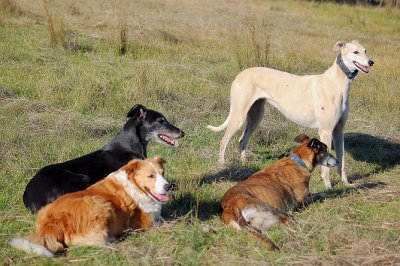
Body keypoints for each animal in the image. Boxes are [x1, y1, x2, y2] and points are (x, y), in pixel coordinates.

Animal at [10, 157, 170, 256]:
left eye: (163, 173)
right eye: (150, 176)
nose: (168, 186)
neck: (134, 186)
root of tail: (52, 222)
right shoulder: (148, 223)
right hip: (101, 203)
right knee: (81, 242)